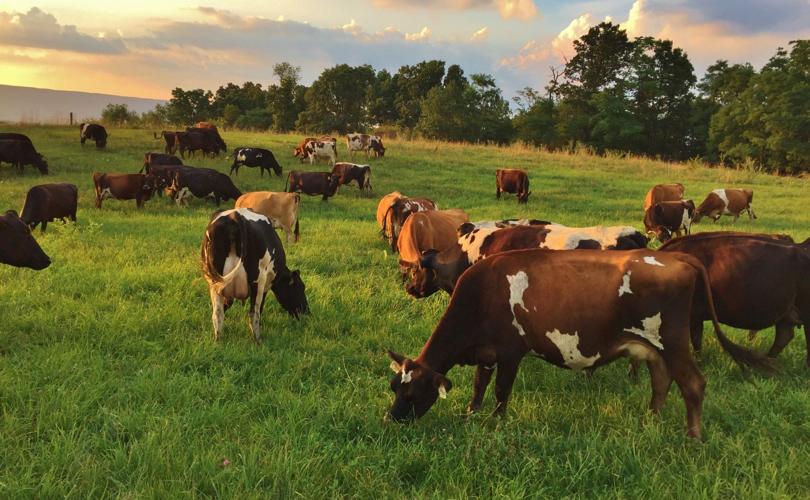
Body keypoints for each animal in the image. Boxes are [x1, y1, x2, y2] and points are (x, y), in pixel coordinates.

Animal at [201, 208, 309, 343]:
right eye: (300, 287)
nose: (307, 311)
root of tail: (235, 216)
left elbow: (225, 306)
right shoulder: (265, 285)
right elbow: (260, 308)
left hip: (215, 281)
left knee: (217, 313)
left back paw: (218, 340)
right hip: (257, 281)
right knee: (254, 313)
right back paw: (258, 340)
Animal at [386, 248, 774, 439]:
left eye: (413, 394)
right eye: (394, 387)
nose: (392, 420)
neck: (481, 293)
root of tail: (678, 257)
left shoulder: (511, 351)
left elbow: (500, 390)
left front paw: (496, 421)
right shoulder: (487, 351)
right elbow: (480, 385)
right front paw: (471, 413)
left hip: (673, 341)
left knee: (693, 384)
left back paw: (692, 438)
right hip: (653, 348)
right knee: (661, 382)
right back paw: (651, 420)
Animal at [660, 232, 810, 365]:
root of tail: (802, 247)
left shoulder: (692, 314)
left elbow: (693, 339)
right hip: (786, 313)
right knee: (784, 336)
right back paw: (769, 361)